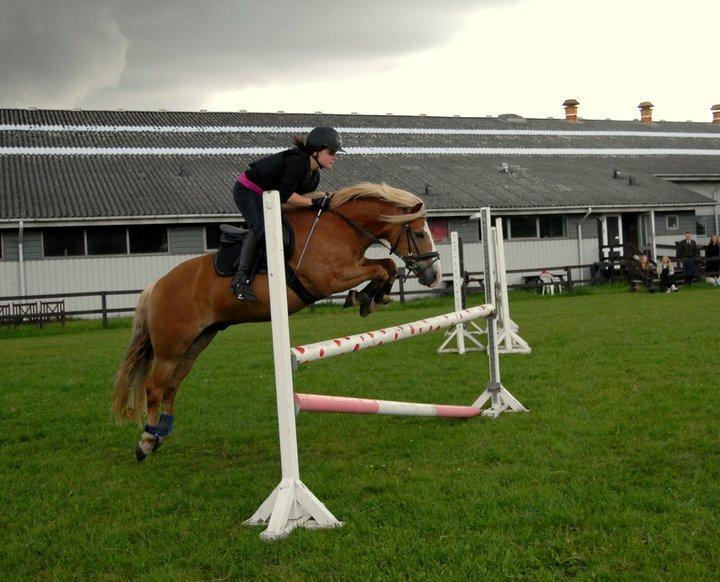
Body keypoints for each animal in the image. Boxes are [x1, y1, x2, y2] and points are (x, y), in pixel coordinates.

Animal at [109, 182, 442, 460]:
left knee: (171, 386)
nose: (434, 275)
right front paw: (365, 298)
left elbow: (386, 266)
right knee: (155, 387)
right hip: (172, 346)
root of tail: (156, 286)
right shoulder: (330, 278)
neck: (339, 227)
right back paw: (146, 442)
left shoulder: (351, 266)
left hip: (197, 342)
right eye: (421, 233)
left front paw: (370, 298)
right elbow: (381, 268)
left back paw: (161, 433)